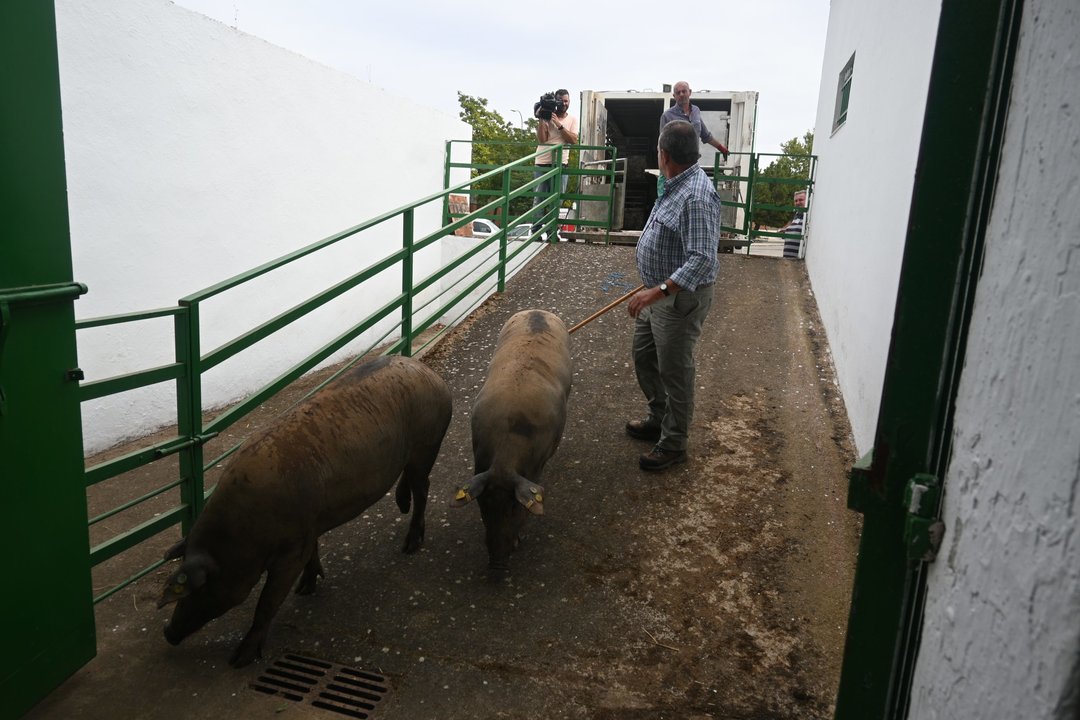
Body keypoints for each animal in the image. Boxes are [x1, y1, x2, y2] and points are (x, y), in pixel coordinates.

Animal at [156, 358, 451, 669]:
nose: (168, 632)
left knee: (423, 488)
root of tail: (431, 375)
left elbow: (267, 602)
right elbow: (312, 554)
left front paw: (239, 660)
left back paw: (410, 546)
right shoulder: (309, 527)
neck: (243, 533)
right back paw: (402, 509)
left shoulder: (291, 549)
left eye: (201, 588)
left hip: (426, 446)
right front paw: (306, 588)